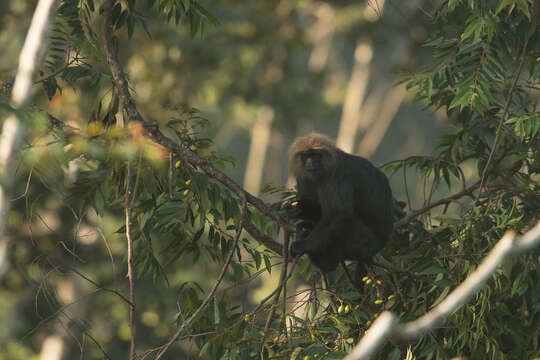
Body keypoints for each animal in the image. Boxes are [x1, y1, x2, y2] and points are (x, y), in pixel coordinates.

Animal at [286, 134, 392, 280]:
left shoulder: (337, 175)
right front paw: (300, 210)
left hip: (363, 243)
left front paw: (303, 245)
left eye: (315, 155)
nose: (310, 162)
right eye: (306, 156)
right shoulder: (304, 177)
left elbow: (339, 213)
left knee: (345, 222)